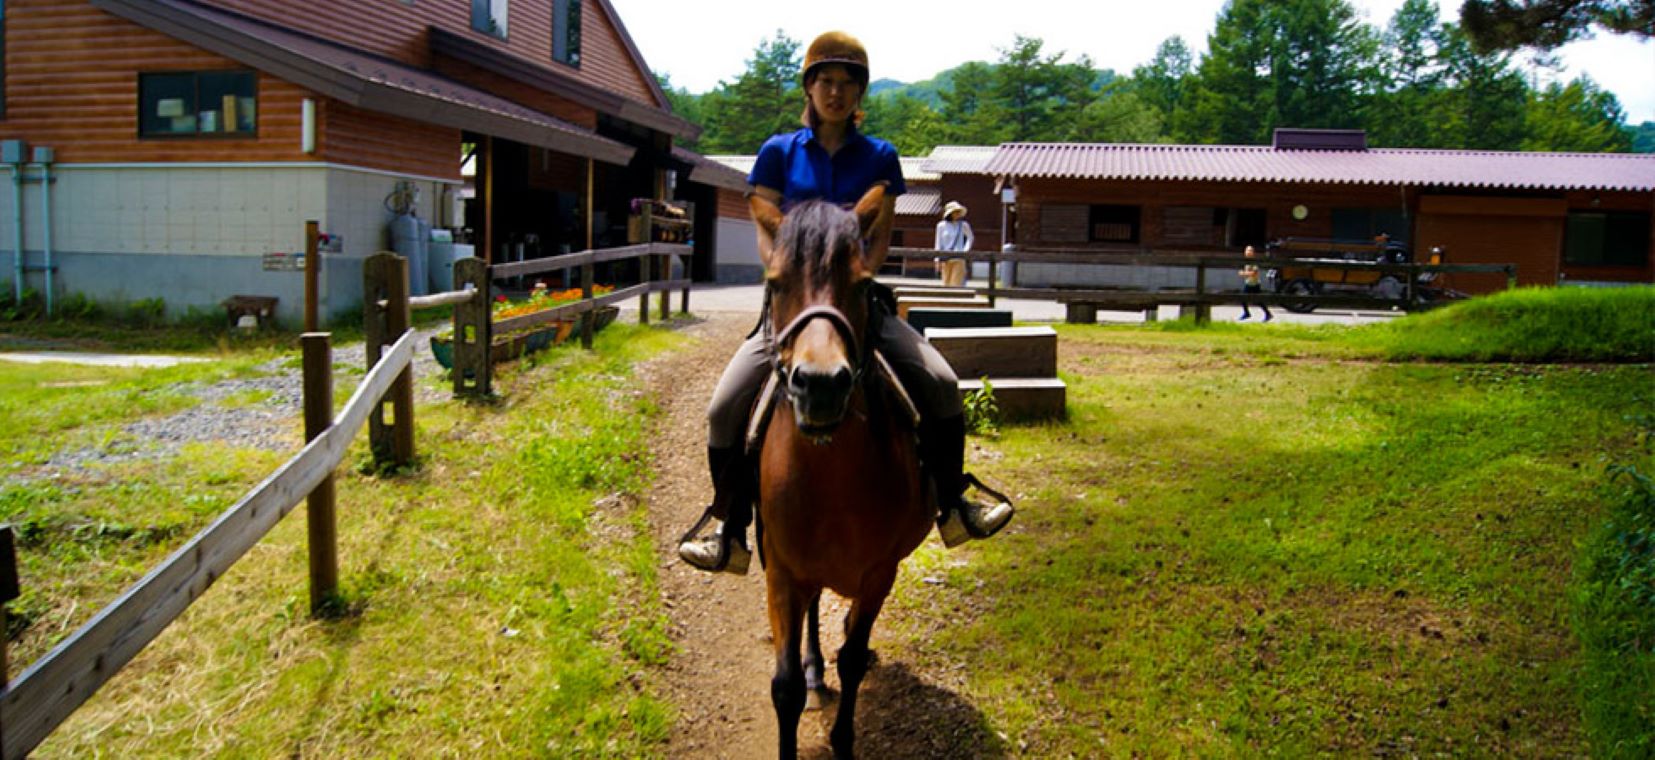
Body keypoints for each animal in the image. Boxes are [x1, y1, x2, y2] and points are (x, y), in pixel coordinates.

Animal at [746, 185, 935, 759]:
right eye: (775, 284)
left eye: (863, 285)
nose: (821, 385)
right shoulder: (783, 572)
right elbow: (784, 686)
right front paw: (803, 679)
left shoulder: (879, 571)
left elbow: (852, 658)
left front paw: (845, 739)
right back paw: (813, 670)